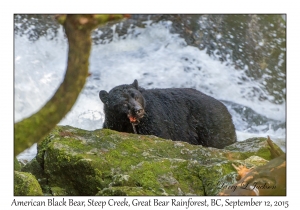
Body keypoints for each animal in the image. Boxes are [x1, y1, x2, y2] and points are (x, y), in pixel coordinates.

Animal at [99, 79, 236, 148]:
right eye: (124, 102)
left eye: (136, 97)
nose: (138, 110)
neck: (126, 123)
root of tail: (226, 109)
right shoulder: (113, 124)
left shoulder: (153, 121)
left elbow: (159, 134)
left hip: (213, 128)